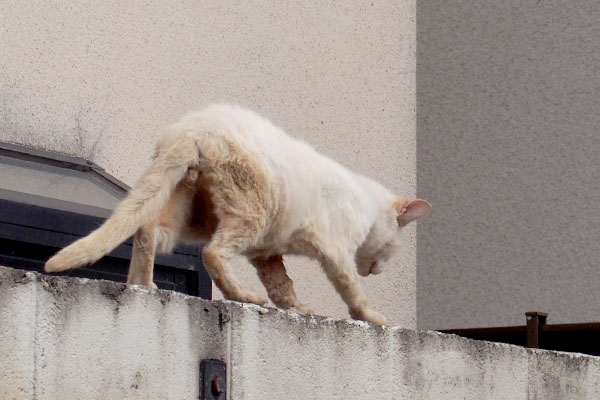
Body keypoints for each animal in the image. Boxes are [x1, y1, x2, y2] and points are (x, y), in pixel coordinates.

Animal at [47, 104, 432, 324]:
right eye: (395, 248)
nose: (377, 271)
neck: (367, 206)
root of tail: (193, 126)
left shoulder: (267, 253)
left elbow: (283, 286)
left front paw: (298, 308)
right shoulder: (336, 253)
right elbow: (352, 291)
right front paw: (371, 316)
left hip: (190, 209)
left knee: (148, 231)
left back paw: (142, 285)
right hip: (248, 213)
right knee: (212, 253)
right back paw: (243, 296)